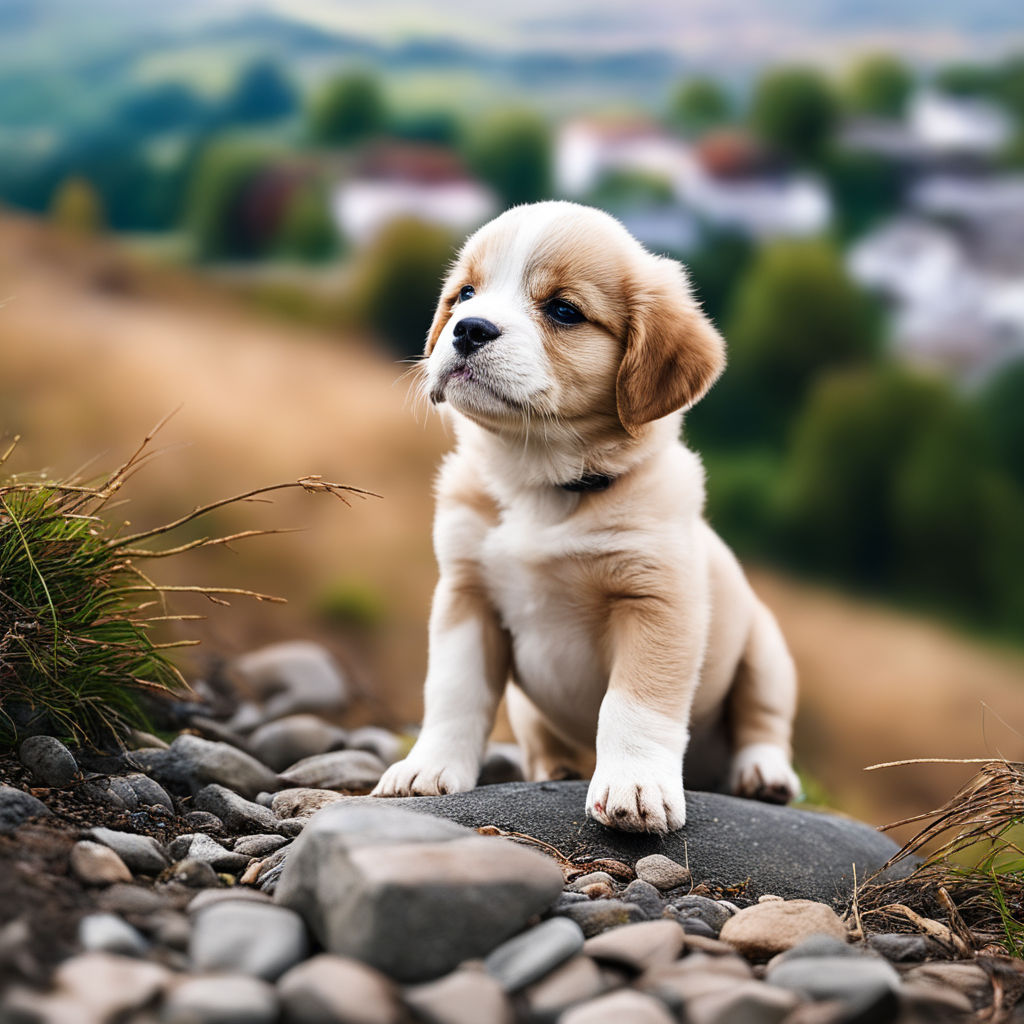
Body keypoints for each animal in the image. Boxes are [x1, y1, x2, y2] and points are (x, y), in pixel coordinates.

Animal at [372, 199, 802, 831]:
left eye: (563, 310)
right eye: (466, 293)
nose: (469, 328)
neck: (539, 481)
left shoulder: (657, 603)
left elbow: (633, 705)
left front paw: (636, 787)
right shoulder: (465, 597)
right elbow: (454, 694)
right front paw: (429, 769)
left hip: (766, 651)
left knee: (763, 722)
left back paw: (763, 774)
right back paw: (555, 768)